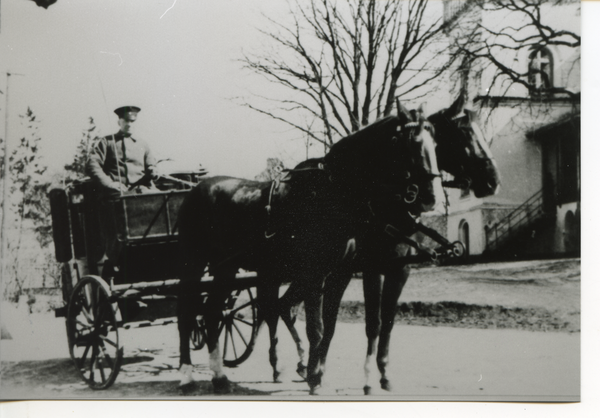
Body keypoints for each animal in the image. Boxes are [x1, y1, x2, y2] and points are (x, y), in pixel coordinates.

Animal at [176, 103, 438, 394]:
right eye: (407, 143)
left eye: (434, 141)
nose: (429, 197)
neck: (331, 193)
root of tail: (197, 188)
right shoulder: (315, 274)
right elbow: (317, 327)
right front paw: (313, 377)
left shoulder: (340, 275)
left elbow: (330, 326)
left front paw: (318, 373)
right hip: (193, 262)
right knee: (186, 310)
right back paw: (187, 375)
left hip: (226, 267)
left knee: (213, 313)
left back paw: (220, 377)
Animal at [278, 93, 502, 394]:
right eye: (463, 133)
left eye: (436, 143)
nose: (493, 181)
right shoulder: (372, 269)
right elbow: (373, 322)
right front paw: (367, 378)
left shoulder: (398, 269)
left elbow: (388, 321)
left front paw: (383, 372)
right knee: (287, 307)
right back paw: (300, 364)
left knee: (289, 306)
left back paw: (305, 364)